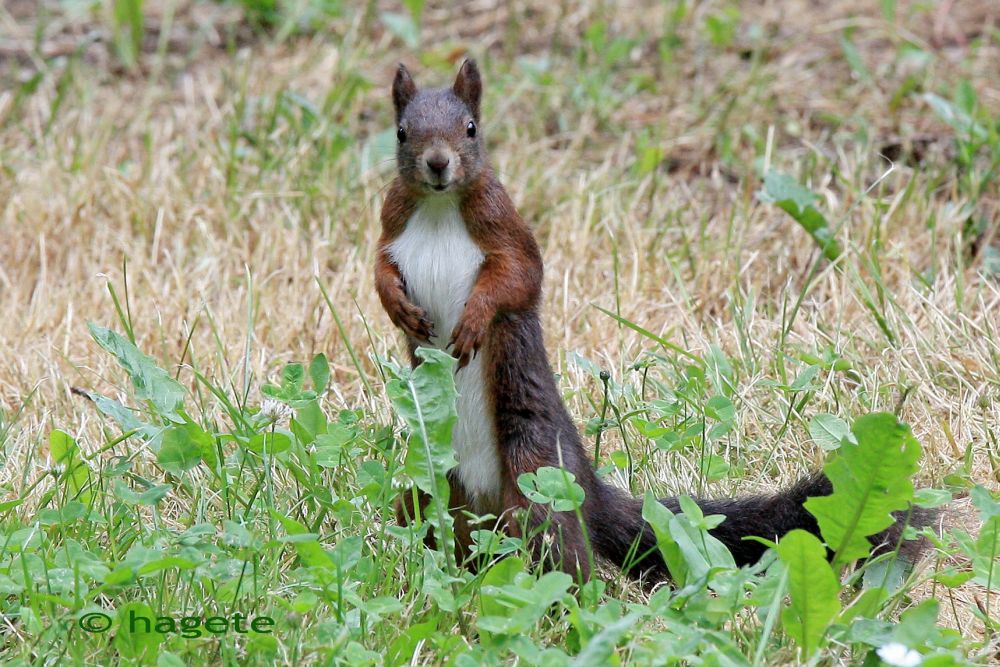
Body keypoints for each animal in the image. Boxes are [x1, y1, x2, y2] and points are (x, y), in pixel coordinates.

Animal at [372, 61, 932, 584]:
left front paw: (473, 319)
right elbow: (378, 267)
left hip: (536, 478)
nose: (438, 163)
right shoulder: (391, 223)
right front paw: (396, 306)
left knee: (565, 559)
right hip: (426, 489)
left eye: (470, 128)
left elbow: (518, 279)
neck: (440, 207)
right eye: (401, 131)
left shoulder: (506, 228)